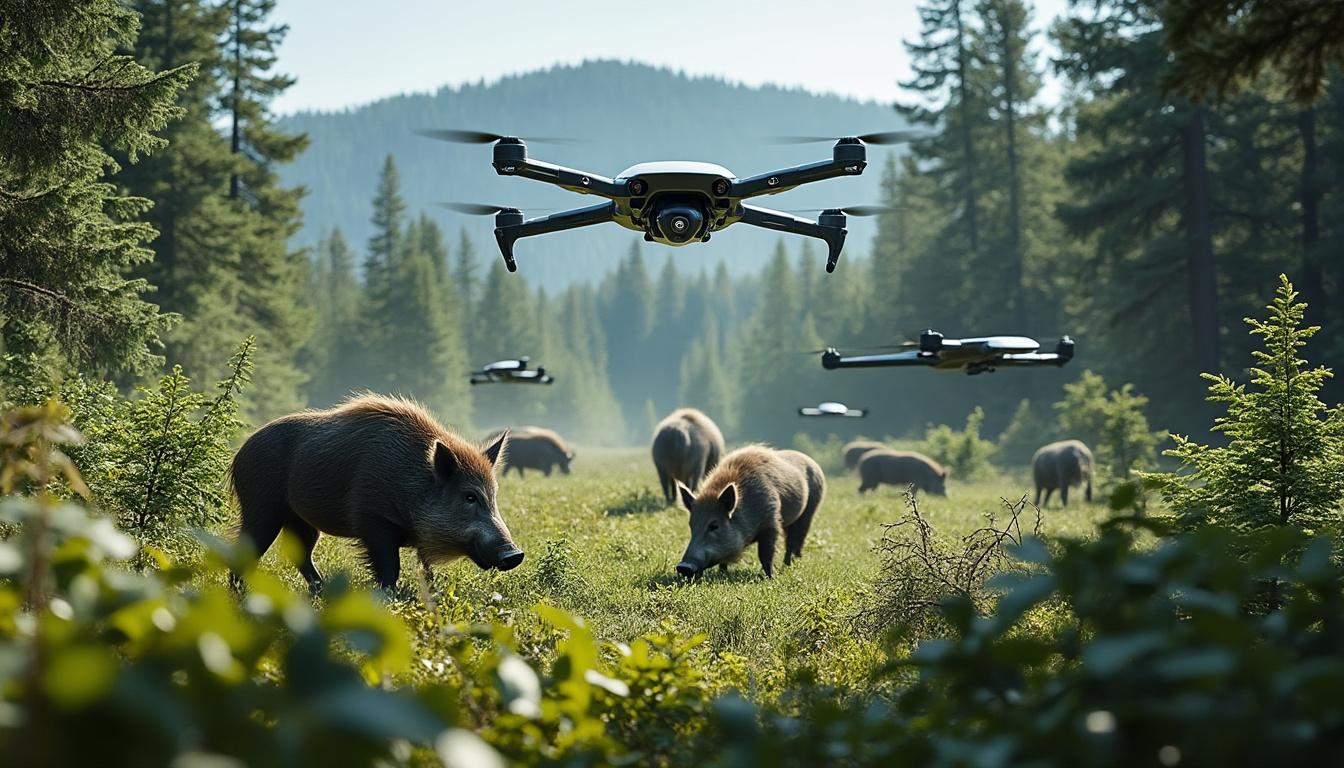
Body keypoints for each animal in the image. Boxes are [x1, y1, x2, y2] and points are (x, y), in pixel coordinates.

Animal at [230, 394, 523, 591]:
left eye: (494, 495)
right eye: (469, 496)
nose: (515, 555)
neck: (414, 486)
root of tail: (239, 454)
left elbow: (425, 569)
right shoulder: (372, 520)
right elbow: (389, 568)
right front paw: (389, 597)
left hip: (301, 521)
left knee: (302, 556)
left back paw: (320, 591)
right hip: (260, 507)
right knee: (246, 551)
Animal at [675, 445, 825, 579]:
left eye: (714, 526)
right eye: (691, 525)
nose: (683, 567)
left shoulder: (771, 522)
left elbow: (765, 554)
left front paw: (769, 577)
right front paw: (722, 573)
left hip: (810, 509)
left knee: (795, 539)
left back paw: (788, 564)